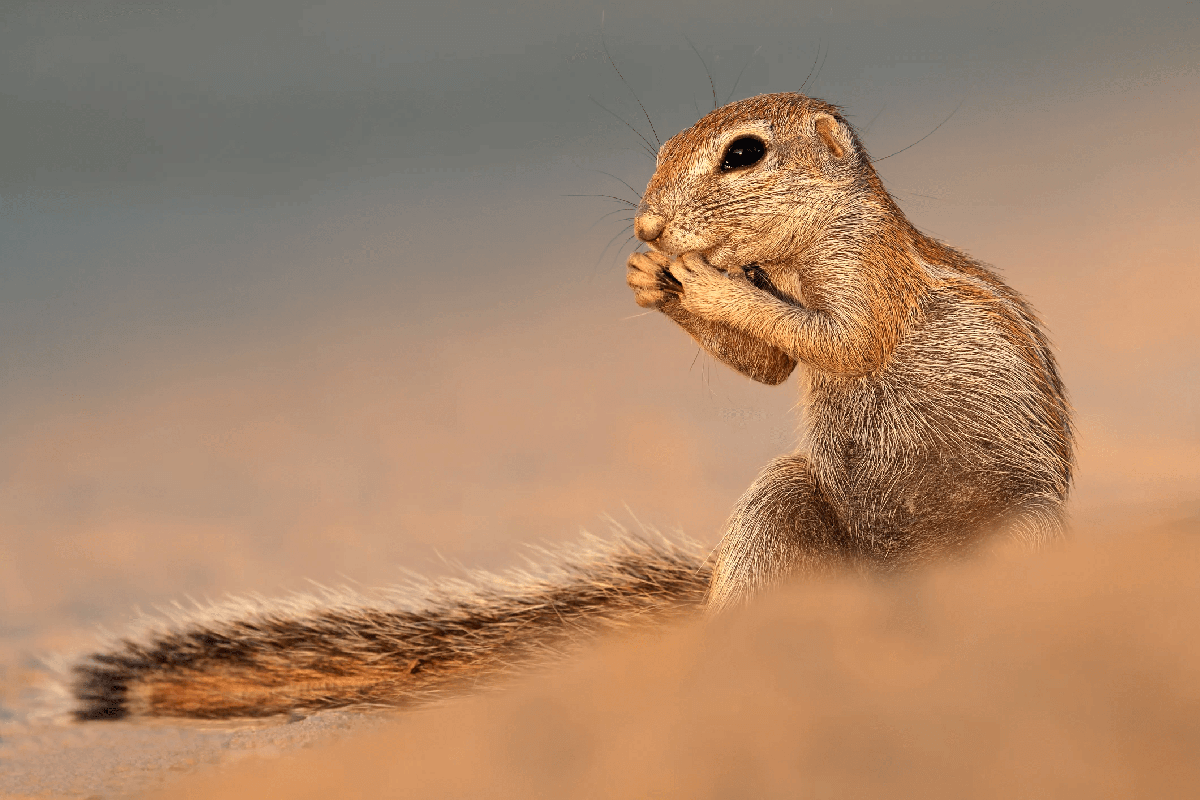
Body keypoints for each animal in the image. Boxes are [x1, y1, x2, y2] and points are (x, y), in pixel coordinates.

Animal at [70, 92, 1072, 721]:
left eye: (743, 153)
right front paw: (651, 281)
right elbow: (769, 368)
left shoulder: (871, 286)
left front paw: (697, 280)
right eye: (660, 152)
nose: (647, 225)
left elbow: (839, 341)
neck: (800, 251)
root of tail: (901, 589)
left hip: (1020, 531)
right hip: (784, 508)